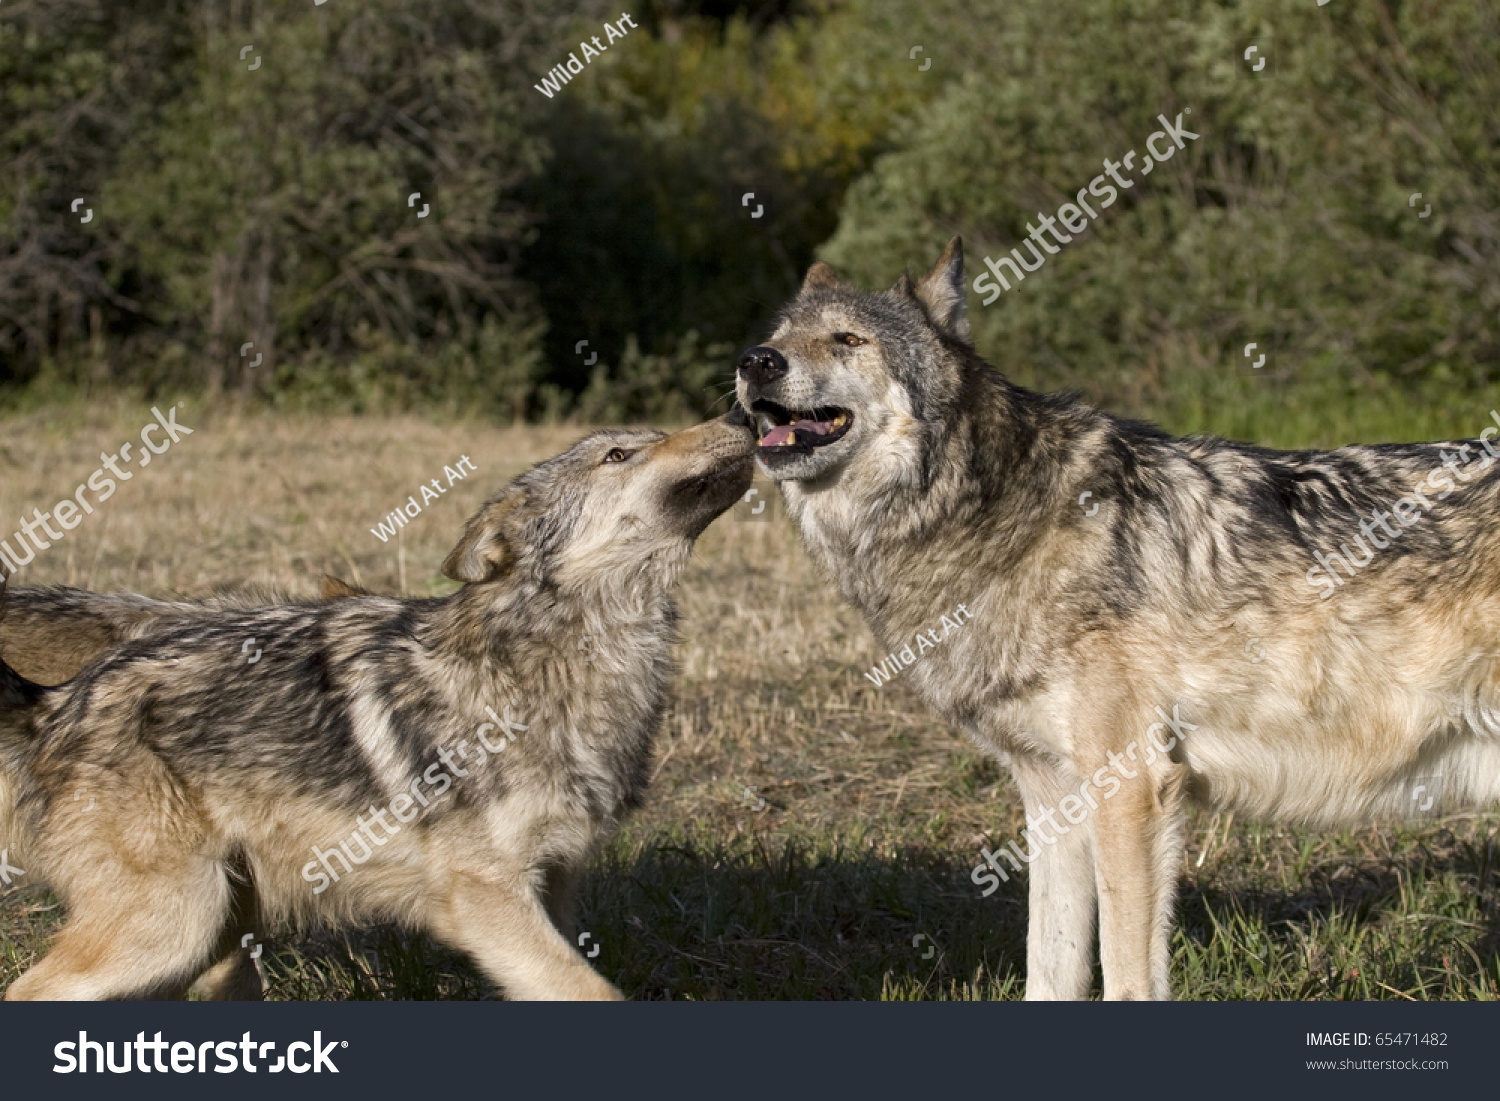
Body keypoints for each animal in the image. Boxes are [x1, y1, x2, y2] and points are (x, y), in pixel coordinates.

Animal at [0, 417, 750, 1002]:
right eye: (619, 454)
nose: (742, 414)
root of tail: (56, 705)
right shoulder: (486, 898)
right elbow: (590, 990)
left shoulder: (555, 883)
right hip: (171, 926)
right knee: (27, 990)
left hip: (215, 930)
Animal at [732, 240, 1500, 1002]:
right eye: (779, 337)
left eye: (848, 339)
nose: (754, 361)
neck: (1002, 518)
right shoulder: (1051, 803)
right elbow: (1050, 970)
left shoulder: (1131, 791)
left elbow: (1128, 978)